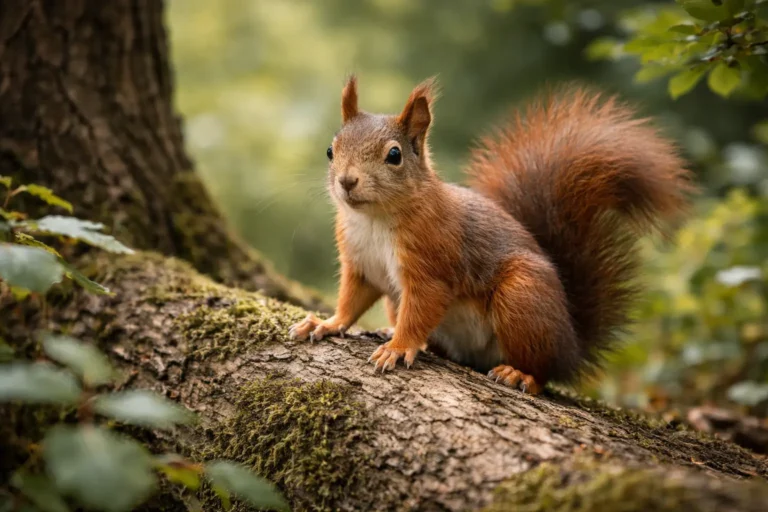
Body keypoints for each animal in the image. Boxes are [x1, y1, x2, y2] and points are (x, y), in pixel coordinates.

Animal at [289, 76, 693, 394]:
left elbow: (420, 309)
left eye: (394, 155)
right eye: (330, 150)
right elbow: (351, 300)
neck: (373, 219)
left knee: (543, 370)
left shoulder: (431, 264)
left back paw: (520, 375)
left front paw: (399, 346)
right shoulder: (359, 263)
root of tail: (572, 345)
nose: (346, 181)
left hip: (523, 298)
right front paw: (327, 324)